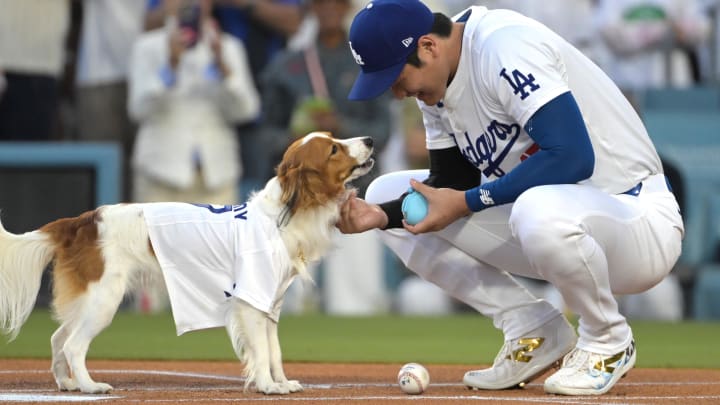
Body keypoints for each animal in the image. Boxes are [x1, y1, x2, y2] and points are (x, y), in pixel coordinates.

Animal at [0, 133, 374, 394]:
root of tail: (83, 221)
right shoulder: (251, 302)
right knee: (74, 345)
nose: (370, 140)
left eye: (335, 140)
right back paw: (91, 386)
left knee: (58, 339)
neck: (281, 214)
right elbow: (262, 351)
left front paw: (281, 383)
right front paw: (268, 386)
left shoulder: (269, 303)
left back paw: (68, 384)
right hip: (104, 300)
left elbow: (275, 351)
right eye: (333, 149)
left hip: (89, 301)